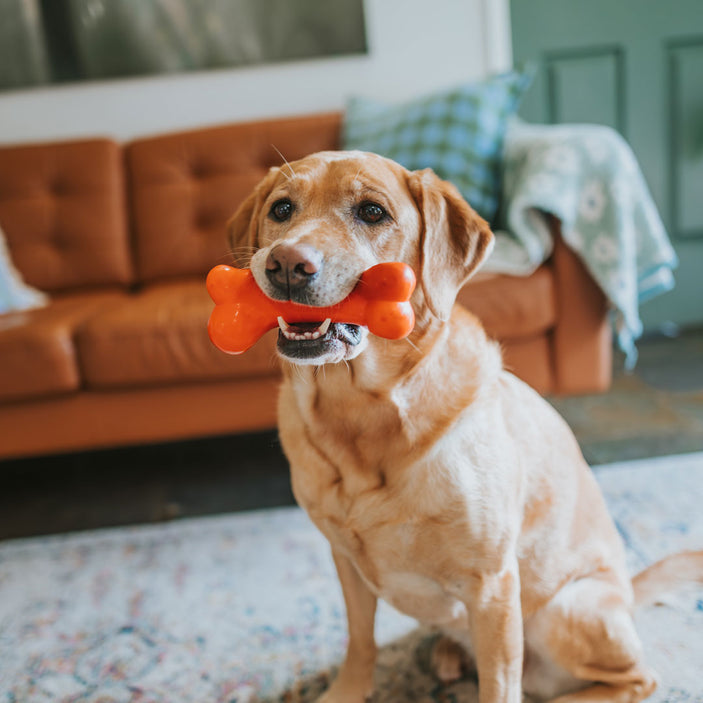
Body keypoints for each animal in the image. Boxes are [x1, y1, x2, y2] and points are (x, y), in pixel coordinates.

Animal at [228, 151, 700, 700]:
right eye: (282, 209)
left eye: (372, 212)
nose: (285, 264)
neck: (359, 414)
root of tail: (627, 591)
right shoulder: (345, 559)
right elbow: (360, 642)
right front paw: (347, 690)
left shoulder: (492, 584)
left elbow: (498, 684)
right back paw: (447, 654)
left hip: (564, 612)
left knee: (637, 677)